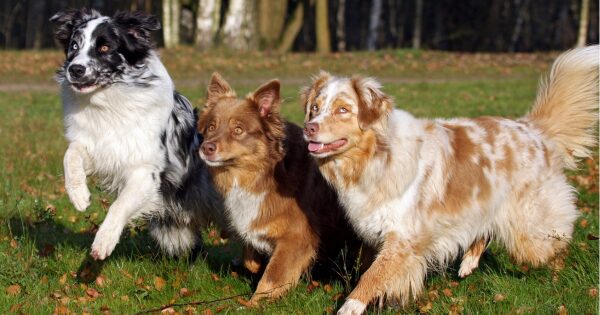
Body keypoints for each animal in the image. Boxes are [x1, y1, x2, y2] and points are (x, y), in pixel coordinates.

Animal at [49, 9, 225, 262]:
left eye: (105, 48)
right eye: (74, 46)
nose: (75, 69)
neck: (109, 104)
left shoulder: (145, 172)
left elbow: (119, 205)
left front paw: (104, 240)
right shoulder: (100, 148)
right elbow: (70, 154)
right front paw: (78, 195)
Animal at [198, 73, 356, 304]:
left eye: (238, 130)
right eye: (211, 127)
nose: (206, 148)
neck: (262, 174)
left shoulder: (296, 237)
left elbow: (272, 276)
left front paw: (253, 303)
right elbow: (250, 254)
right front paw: (253, 262)